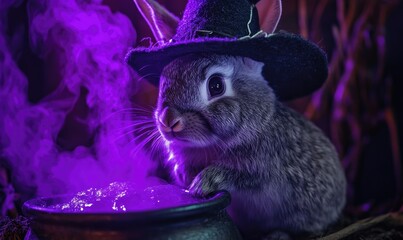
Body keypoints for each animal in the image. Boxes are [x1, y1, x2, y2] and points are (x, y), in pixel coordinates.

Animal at [155, 52, 348, 238]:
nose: (169, 120)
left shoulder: (260, 167)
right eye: (164, 81)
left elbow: (237, 175)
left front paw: (201, 184)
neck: (210, 144)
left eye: (216, 85)